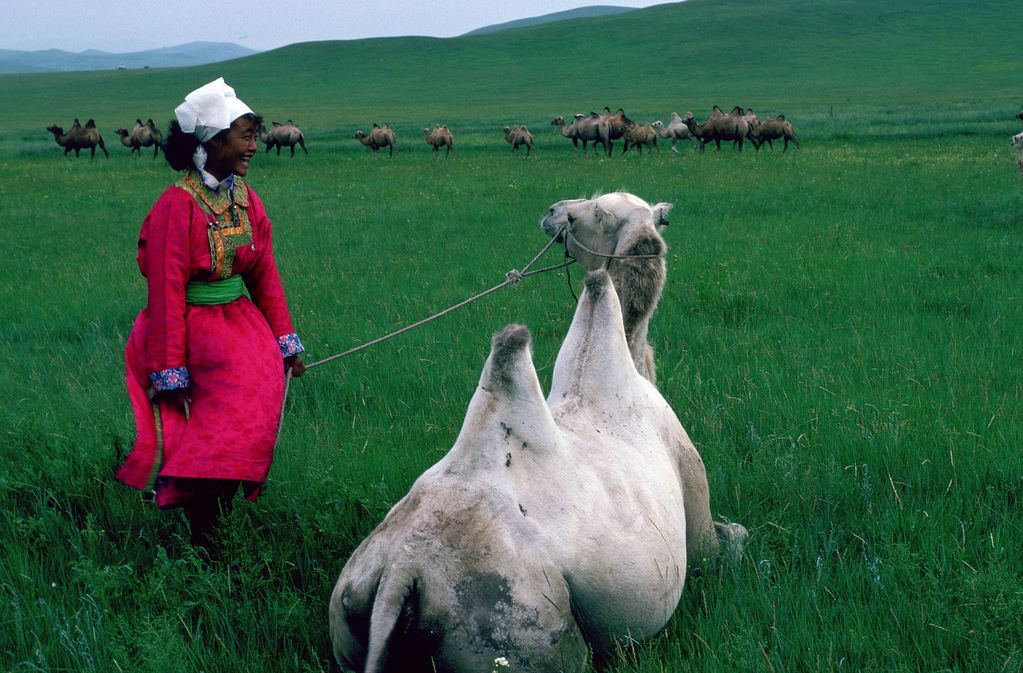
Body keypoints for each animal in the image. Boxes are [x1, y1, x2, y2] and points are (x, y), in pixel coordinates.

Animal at [331, 259, 748, 666]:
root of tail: (400, 571)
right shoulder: (690, 477)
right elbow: (715, 547)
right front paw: (737, 536)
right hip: (519, 620)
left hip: (348, 608)